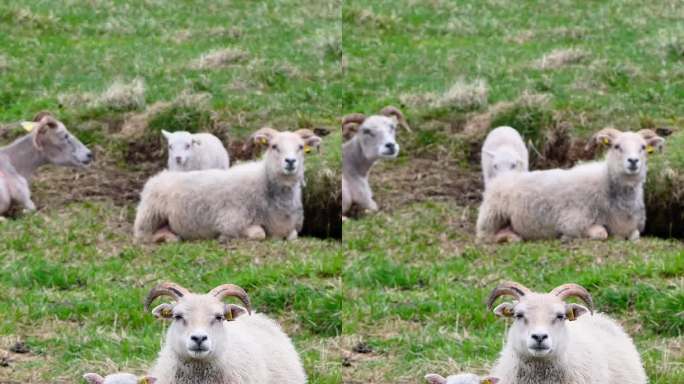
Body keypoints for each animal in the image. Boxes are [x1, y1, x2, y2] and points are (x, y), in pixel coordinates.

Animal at [136, 129, 324, 243]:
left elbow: (293, 235)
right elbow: (259, 234)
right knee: (142, 236)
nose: (290, 161)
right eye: (274, 146)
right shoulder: (231, 222)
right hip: (149, 216)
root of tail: (156, 177)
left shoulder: (290, 229)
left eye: (300, 147)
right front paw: (222, 238)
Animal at [476, 129, 664, 243]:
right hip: (492, 216)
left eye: (643, 147)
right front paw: (565, 237)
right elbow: (601, 234)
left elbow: (635, 236)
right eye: (617, 146)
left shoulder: (632, 228)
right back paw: (510, 236)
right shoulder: (573, 222)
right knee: (484, 236)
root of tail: (502, 178)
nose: (633, 161)